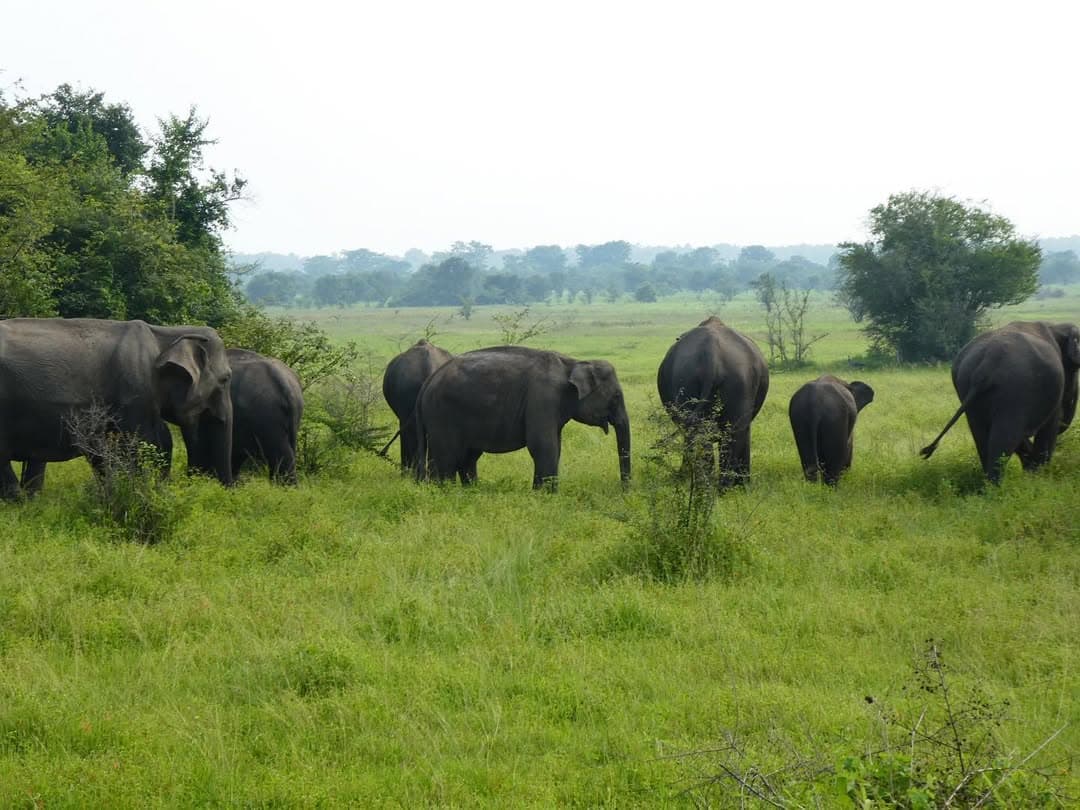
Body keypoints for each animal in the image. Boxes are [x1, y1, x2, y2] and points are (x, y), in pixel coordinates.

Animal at [0, 317, 233, 499]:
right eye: (226, 378)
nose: (227, 493)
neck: (165, 333)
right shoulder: (135, 393)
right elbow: (141, 445)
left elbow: (103, 452)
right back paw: (18, 502)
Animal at [415, 345, 631, 490]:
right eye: (616, 397)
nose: (624, 491)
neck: (573, 363)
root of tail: (428, 382)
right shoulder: (544, 398)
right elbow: (543, 445)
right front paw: (546, 496)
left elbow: (555, 447)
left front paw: (543, 494)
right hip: (441, 414)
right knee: (448, 457)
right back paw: (447, 492)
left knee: (468, 457)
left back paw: (472, 491)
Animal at [656, 317, 769, 489]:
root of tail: (711, 353)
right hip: (736, 382)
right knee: (731, 433)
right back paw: (721, 487)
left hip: (690, 378)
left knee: (709, 434)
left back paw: (709, 485)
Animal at [920, 321, 1080, 484]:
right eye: (1075, 370)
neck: (1056, 327)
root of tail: (988, 363)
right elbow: (1049, 429)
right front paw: (1038, 479)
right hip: (1014, 390)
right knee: (1005, 438)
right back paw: (996, 486)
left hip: (967, 387)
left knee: (982, 436)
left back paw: (989, 485)